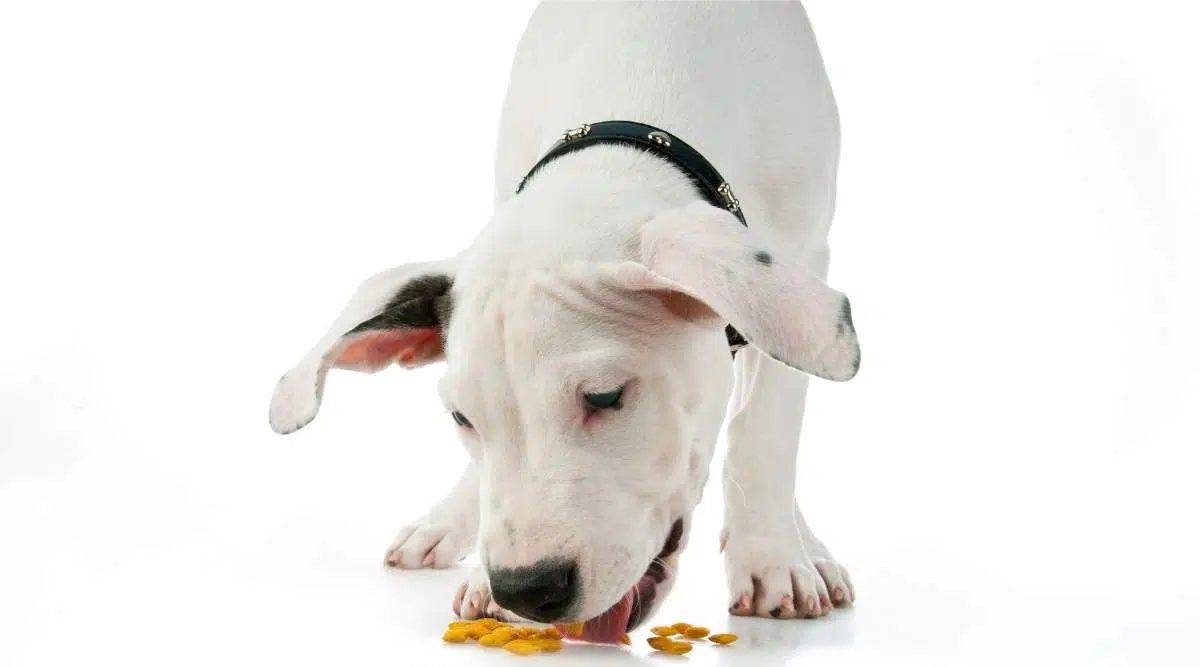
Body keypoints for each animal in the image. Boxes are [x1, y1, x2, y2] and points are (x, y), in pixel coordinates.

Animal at [268, 1, 859, 643]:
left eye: (605, 397)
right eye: (460, 417)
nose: (525, 590)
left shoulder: (805, 254)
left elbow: (765, 427)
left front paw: (773, 556)